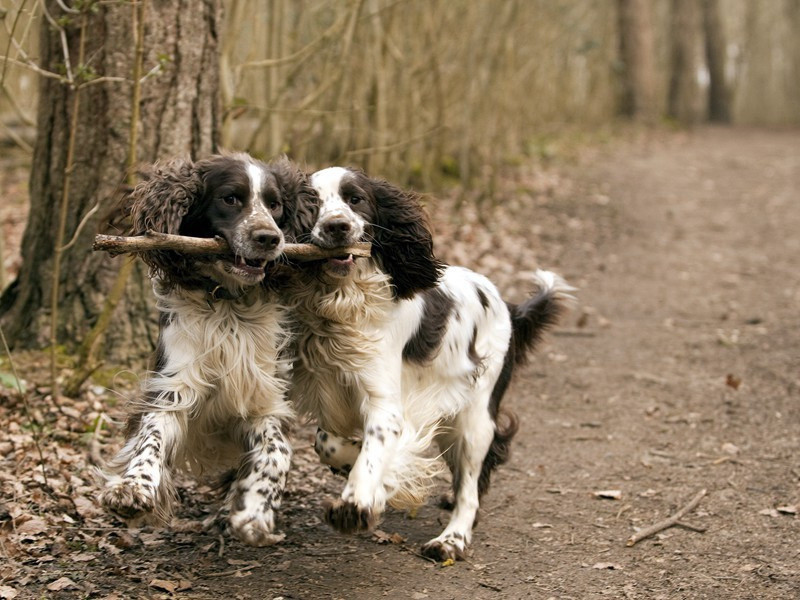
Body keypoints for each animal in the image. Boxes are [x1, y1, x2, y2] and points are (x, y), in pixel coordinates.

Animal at [97, 152, 316, 548]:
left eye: (275, 204)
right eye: (230, 198)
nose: (269, 238)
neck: (229, 305)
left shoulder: (264, 397)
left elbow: (277, 452)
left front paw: (255, 513)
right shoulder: (174, 384)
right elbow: (151, 436)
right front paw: (133, 488)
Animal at [284, 166, 572, 560]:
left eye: (356, 198)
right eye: (311, 203)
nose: (337, 226)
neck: (344, 302)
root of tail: (509, 306)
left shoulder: (385, 401)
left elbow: (375, 452)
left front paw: (357, 503)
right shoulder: (332, 389)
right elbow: (328, 442)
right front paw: (367, 468)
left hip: (475, 417)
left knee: (471, 486)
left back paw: (451, 539)